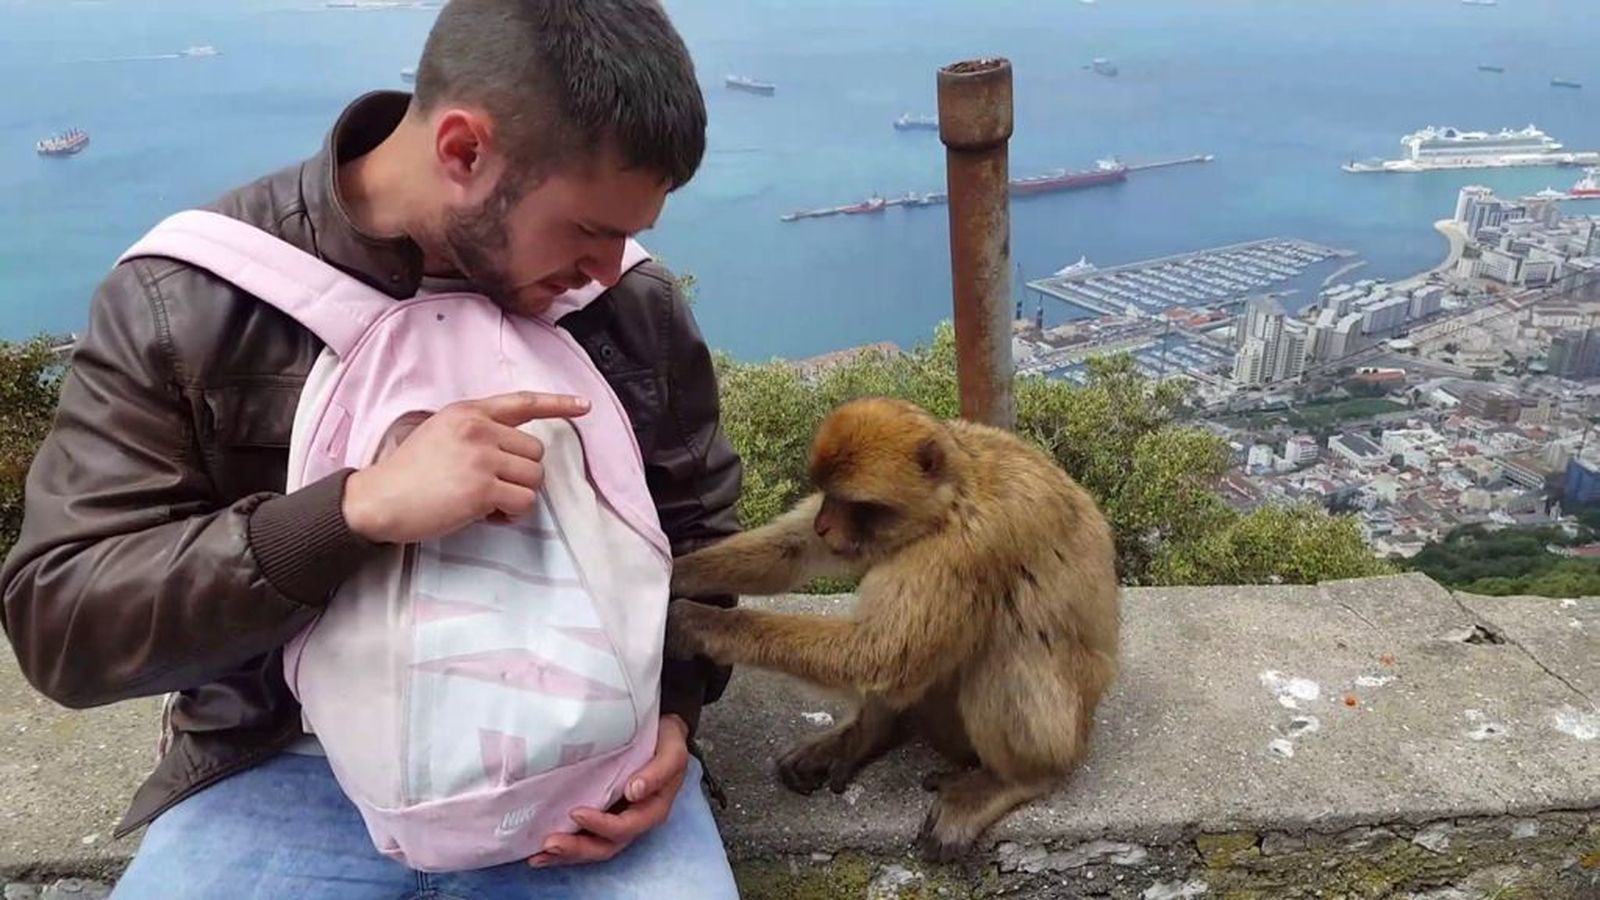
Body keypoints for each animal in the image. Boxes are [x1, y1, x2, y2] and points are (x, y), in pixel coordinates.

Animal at [664, 395, 1120, 862]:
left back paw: (1015, 779)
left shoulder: (966, 544)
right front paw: (674, 573)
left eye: (855, 503)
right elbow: (792, 552)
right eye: (827, 495)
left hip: (1058, 731)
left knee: (1003, 642)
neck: (952, 500)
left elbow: (884, 653)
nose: (823, 524)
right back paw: (869, 733)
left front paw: (700, 623)